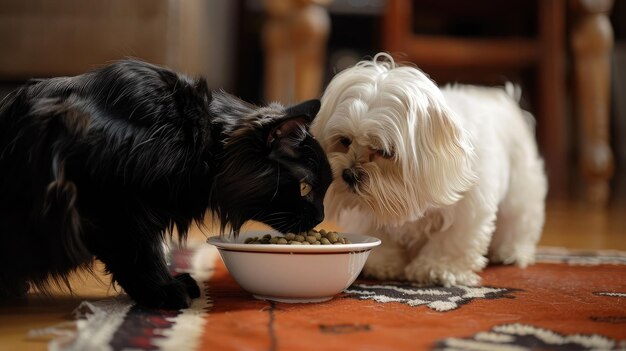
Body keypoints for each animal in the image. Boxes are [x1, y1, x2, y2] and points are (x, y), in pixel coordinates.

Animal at [0, 59, 332, 310]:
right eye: (306, 188)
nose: (321, 217)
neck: (199, 140)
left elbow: (149, 248)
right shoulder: (112, 203)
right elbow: (139, 252)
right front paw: (162, 289)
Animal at [310, 53, 544, 288]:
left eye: (385, 152)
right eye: (344, 140)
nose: (349, 174)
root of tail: (503, 97)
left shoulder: (468, 208)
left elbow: (451, 240)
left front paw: (438, 268)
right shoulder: (368, 211)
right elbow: (377, 231)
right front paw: (381, 264)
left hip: (520, 191)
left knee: (519, 221)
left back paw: (511, 251)